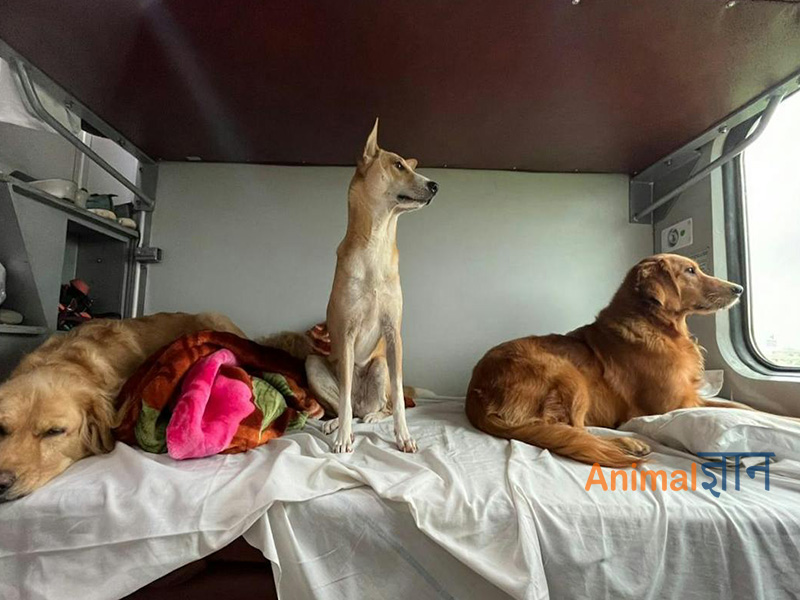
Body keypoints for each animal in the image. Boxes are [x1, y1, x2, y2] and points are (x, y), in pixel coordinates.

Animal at [466, 253, 748, 468]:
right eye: (690, 270)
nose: (739, 289)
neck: (655, 325)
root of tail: (475, 392)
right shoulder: (674, 404)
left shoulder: (689, 397)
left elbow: (741, 407)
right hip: (568, 374)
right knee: (576, 431)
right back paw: (627, 443)